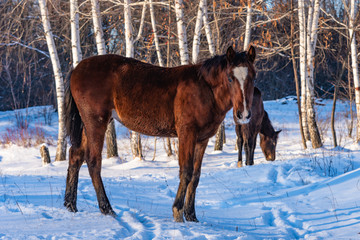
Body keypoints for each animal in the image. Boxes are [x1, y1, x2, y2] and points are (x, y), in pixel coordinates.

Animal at [64, 46, 256, 222]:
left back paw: (70, 205)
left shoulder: (202, 139)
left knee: (76, 156)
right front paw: (178, 212)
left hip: (88, 125)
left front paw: (191, 216)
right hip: (95, 123)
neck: (205, 89)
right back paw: (106, 209)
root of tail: (77, 69)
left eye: (253, 77)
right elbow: (186, 172)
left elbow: (196, 175)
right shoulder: (187, 134)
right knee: (93, 162)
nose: (244, 114)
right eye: (230, 78)